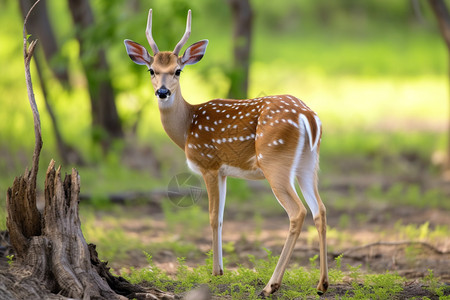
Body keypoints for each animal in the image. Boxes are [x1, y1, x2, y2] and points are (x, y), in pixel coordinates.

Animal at [125, 8, 328, 296]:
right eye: (151, 70)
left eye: (178, 71)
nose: (162, 92)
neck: (187, 127)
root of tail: (309, 117)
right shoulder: (222, 172)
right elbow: (221, 217)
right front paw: (220, 270)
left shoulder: (208, 163)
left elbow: (211, 217)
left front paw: (214, 273)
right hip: (309, 163)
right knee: (319, 210)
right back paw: (322, 284)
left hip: (275, 161)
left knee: (297, 212)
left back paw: (270, 286)